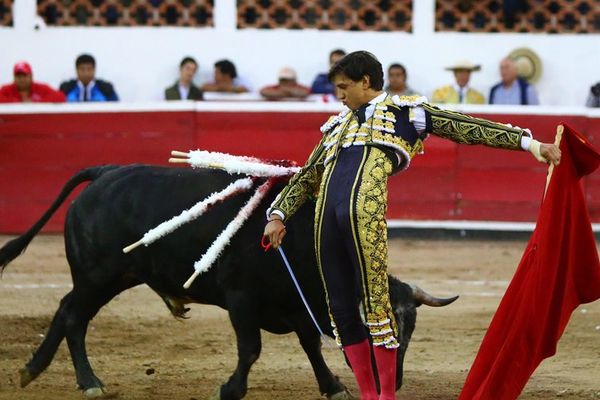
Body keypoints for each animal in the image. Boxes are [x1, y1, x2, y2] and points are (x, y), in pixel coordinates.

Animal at [0, 164, 458, 398]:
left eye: (410, 333)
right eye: (375, 328)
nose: (392, 385)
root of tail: (102, 176)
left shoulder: (296, 305)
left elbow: (310, 346)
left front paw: (332, 386)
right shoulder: (241, 300)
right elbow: (251, 348)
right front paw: (231, 389)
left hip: (116, 276)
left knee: (67, 311)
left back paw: (38, 371)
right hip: (98, 275)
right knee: (73, 316)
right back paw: (86, 381)